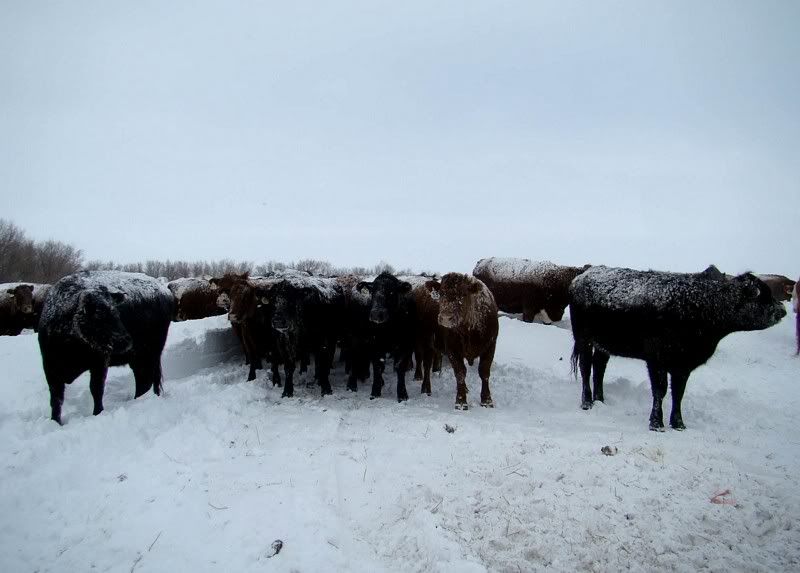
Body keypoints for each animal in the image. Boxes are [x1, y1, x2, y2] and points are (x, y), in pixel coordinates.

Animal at [37, 271, 175, 425]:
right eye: (99, 315)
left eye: (116, 312)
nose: (126, 340)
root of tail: (164, 291)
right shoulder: (50, 368)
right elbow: (56, 399)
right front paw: (55, 421)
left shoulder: (100, 362)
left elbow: (96, 389)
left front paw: (98, 413)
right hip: (139, 358)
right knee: (143, 381)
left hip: (151, 354)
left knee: (149, 380)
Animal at [425, 273, 499, 410]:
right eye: (441, 293)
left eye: (463, 294)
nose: (445, 318)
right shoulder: (452, 350)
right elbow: (460, 373)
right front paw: (460, 402)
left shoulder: (490, 346)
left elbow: (484, 372)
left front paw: (486, 400)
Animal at [569, 266, 786, 431]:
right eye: (763, 296)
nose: (782, 310)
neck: (701, 306)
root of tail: (582, 276)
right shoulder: (656, 361)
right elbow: (660, 390)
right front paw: (656, 423)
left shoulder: (682, 365)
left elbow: (678, 393)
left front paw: (679, 424)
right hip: (584, 339)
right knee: (586, 368)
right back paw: (587, 402)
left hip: (603, 346)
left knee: (599, 368)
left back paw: (600, 400)